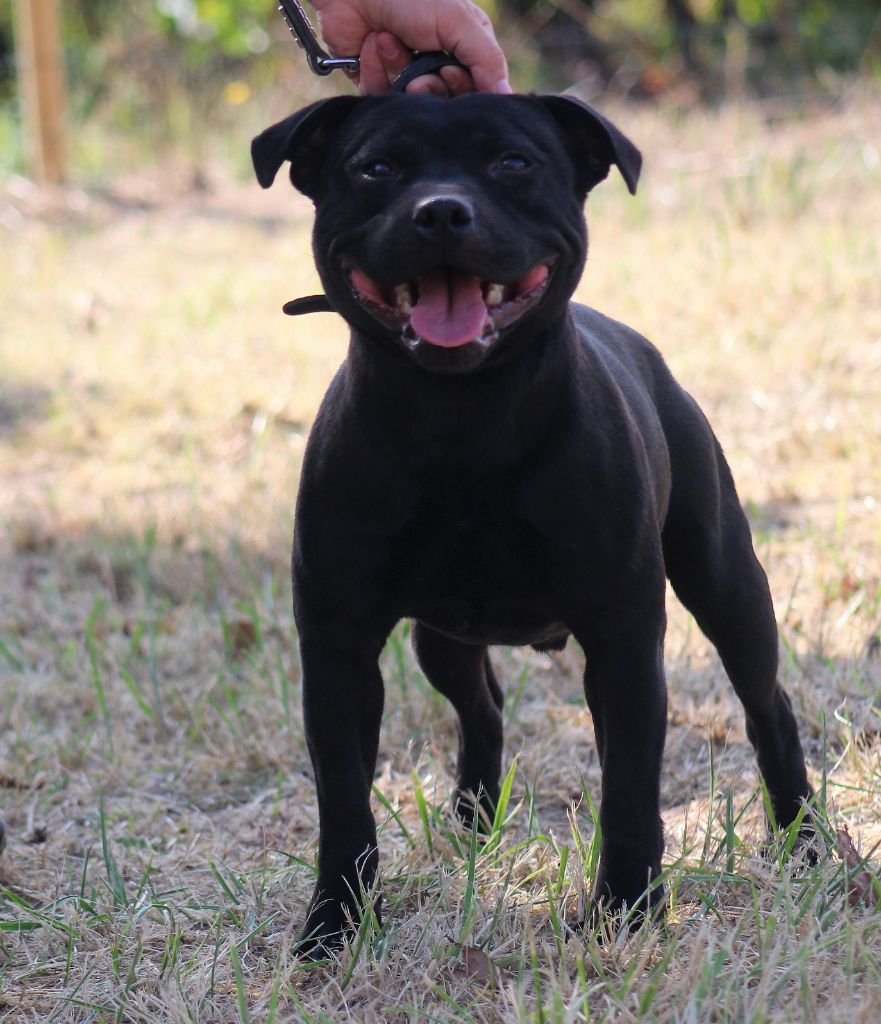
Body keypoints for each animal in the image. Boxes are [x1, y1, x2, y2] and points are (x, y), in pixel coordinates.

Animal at [250, 92, 815, 954]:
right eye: (375, 167)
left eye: (512, 163)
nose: (440, 211)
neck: (459, 420)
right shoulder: (338, 647)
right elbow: (343, 802)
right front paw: (332, 927)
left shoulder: (624, 635)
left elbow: (629, 792)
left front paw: (627, 910)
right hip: (441, 639)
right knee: (482, 706)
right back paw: (472, 821)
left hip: (726, 587)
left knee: (765, 707)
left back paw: (805, 840)